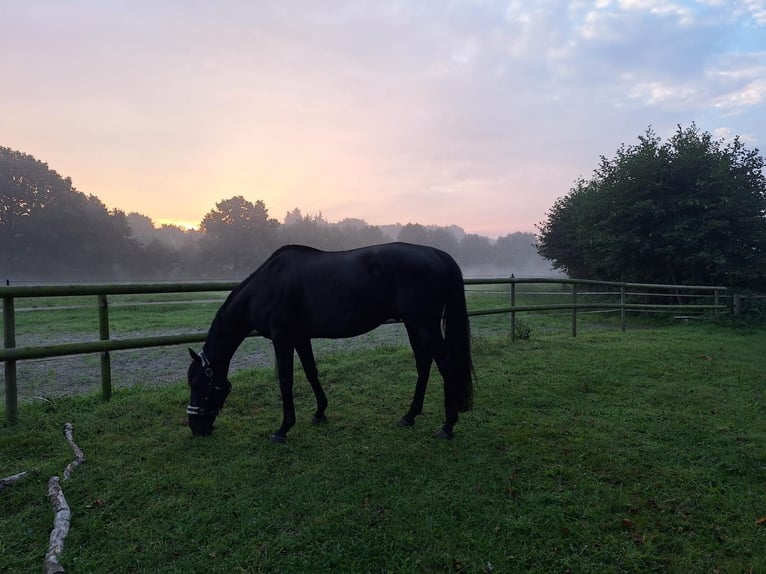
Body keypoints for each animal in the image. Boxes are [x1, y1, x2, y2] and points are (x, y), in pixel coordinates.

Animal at [186, 242, 474, 443]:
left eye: (198, 384)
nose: (195, 428)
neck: (265, 287)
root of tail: (435, 253)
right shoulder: (300, 337)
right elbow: (311, 372)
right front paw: (319, 413)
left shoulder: (282, 338)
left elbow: (286, 381)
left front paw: (283, 429)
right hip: (414, 325)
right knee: (424, 365)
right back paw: (409, 416)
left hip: (424, 324)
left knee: (446, 365)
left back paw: (448, 426)